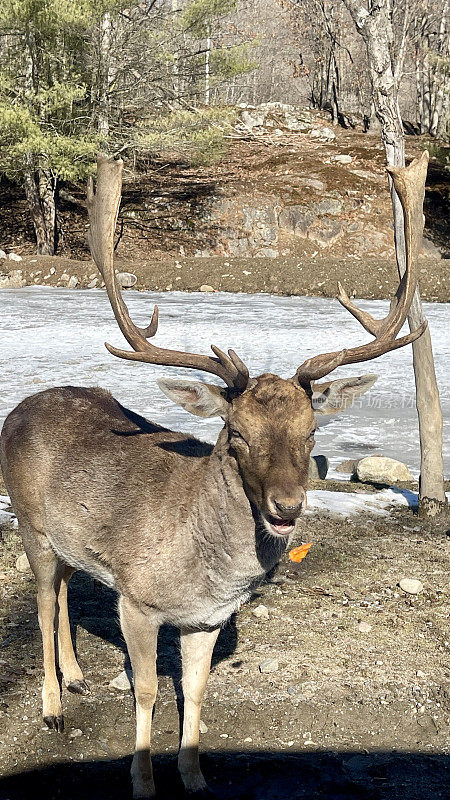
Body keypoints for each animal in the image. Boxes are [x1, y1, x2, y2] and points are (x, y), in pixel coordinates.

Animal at [0, 152, 428, 800]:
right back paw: (53, 707)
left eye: (311, 432)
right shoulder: (137, 599)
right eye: (237, 434)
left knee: (67, 588)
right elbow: (148, 690)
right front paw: (142, 779)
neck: (205, 570)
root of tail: (16, 411)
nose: (285, 506)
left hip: (68, 541)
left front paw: (195, 774)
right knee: (45, 604)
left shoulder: (207, 618)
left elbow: (197, 691)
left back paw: (75, 677)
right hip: (30, 525)